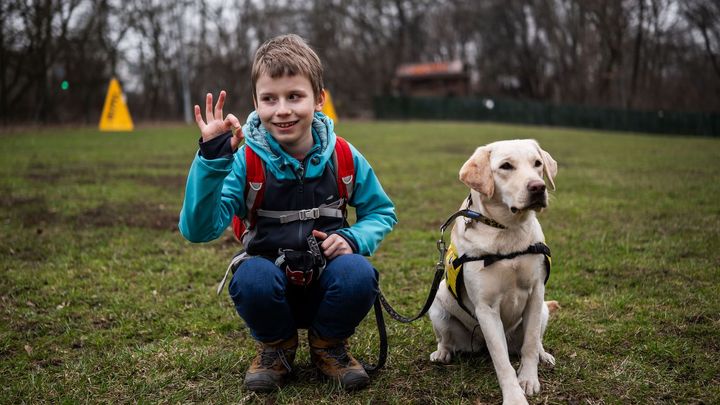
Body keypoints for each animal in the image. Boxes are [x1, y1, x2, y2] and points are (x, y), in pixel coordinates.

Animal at [430, 140, 560, 404]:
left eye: (537, 164)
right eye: (506, 166)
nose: (538, 187)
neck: (508, 230)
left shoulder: (536, 294)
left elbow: (530, 344)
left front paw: (528, 380)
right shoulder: (486, 308)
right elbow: (501, 361)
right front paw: (514, 397)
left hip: (542, 311)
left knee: (535, 341)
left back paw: (545, 355)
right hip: (437, 309)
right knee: (445, 340)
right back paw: (441, 354)